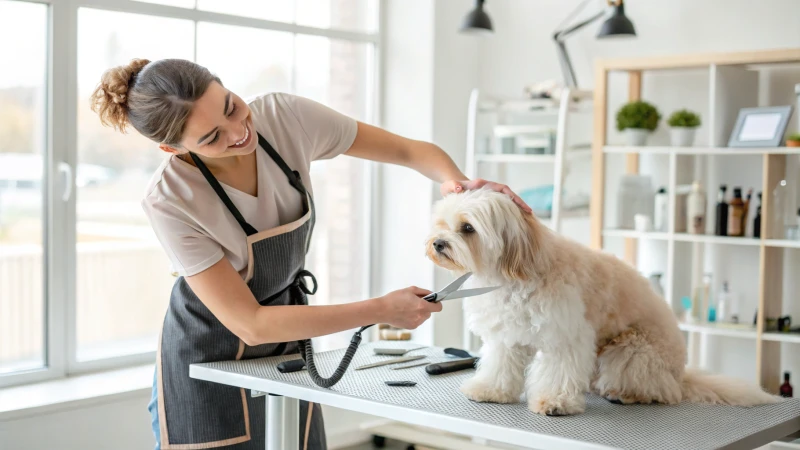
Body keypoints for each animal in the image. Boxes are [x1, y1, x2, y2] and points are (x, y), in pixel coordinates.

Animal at [424, 186, 780, 414]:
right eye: (441, 224)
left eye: (467, 228)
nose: (437, 243)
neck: (512, 276)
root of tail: (680, 374)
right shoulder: (505, 336)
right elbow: (500, 363)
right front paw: (491, 390)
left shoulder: (566, 335)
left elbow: (559, 369)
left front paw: (555, 402)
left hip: (631, 350)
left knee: (661, 390)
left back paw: (626, 394)